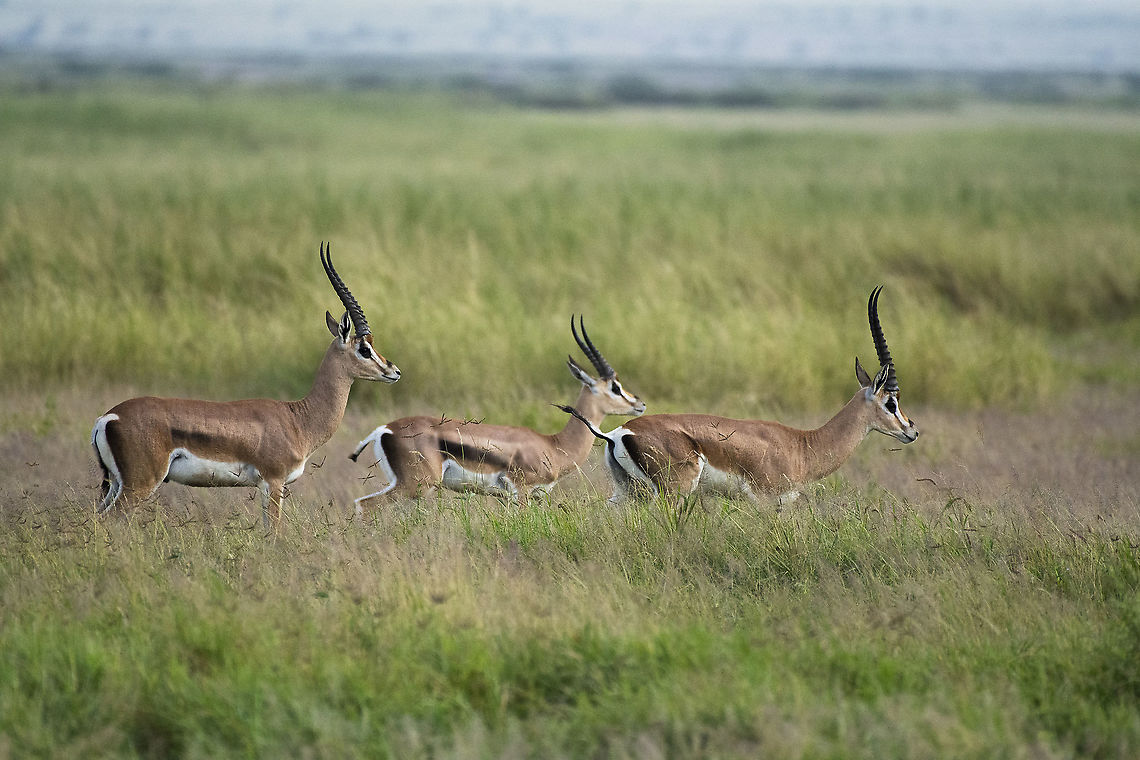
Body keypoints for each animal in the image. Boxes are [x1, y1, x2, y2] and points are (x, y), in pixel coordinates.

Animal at [90, 243, 400, 526]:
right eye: (364, 349)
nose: (394, 371)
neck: (297, 420)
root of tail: (107, 418)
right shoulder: (273, 483)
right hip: (140, 484)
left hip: (115, 485)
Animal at [349, 316, 645, 512]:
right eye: (615, 387)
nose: (639, 403)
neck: (554, 445)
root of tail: (384, 429)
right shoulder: (521, 492)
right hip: (415, 485)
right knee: (366, 505)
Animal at [560, 286, 918, 505]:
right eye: (891, 402)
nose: (911, 430)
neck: (802, 445)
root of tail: (618, 433)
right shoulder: (767, 501)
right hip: (675, 492)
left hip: (626, 494)